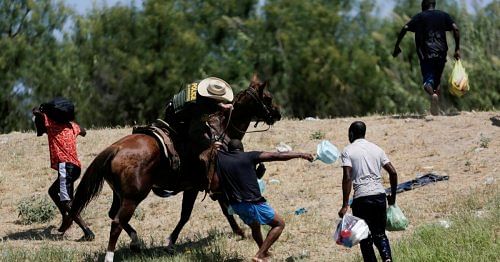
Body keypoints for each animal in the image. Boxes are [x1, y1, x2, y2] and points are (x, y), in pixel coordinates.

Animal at [65, 74, 282, 260]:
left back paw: (136, 242)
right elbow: (189, 215)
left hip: (119, 194)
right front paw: (171, 242)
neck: (222, 132)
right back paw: (112, 255)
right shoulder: (199, 187)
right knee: (117, 221)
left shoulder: (203, 186)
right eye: (268, 97)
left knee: (114, 215)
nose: (278, 113)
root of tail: (115, 148)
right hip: (133, 197)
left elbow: (219, 209)